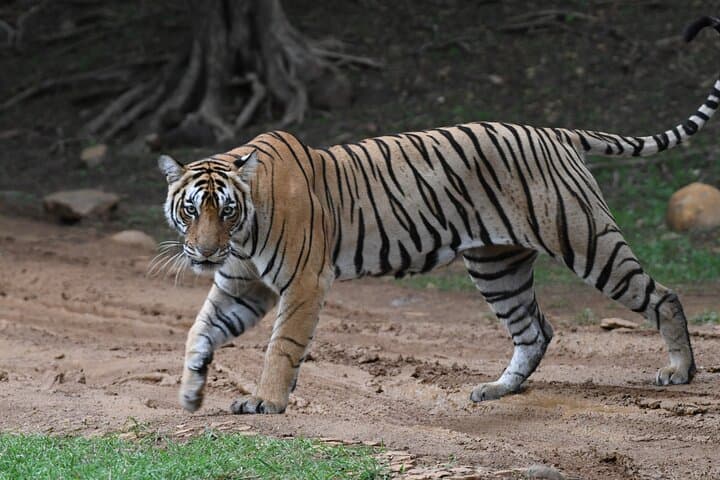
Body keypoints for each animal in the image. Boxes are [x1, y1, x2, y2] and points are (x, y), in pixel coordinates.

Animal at [157, 16, 719, 415]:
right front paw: (190, 392)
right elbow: (199, 331)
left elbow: (282, 345)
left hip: (586, 240)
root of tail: (555, 132)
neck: (244, 235)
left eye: (226, 212)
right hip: (497, 265)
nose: (204, 252)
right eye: (191, 211)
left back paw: (680, 371)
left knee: (663, 296)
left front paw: (265, 402)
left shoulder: (303, 282)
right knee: (534, 329)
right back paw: (497, 389)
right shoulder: (240, 284)